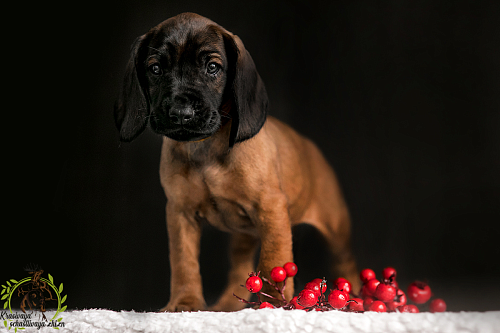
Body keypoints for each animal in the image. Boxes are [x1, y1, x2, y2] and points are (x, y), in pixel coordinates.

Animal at [115, 11, 358, 310]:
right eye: (156, 68)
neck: (205, 150)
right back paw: (226, 307)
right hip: (243, 236)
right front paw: (184, 303)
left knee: (346, 264)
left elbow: (273, 262)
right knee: (239, 269)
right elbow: (184, 262)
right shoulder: (180, 213)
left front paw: (277, 306)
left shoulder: (271, 209)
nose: (181, 113)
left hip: (336, 229)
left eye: (212, 67)